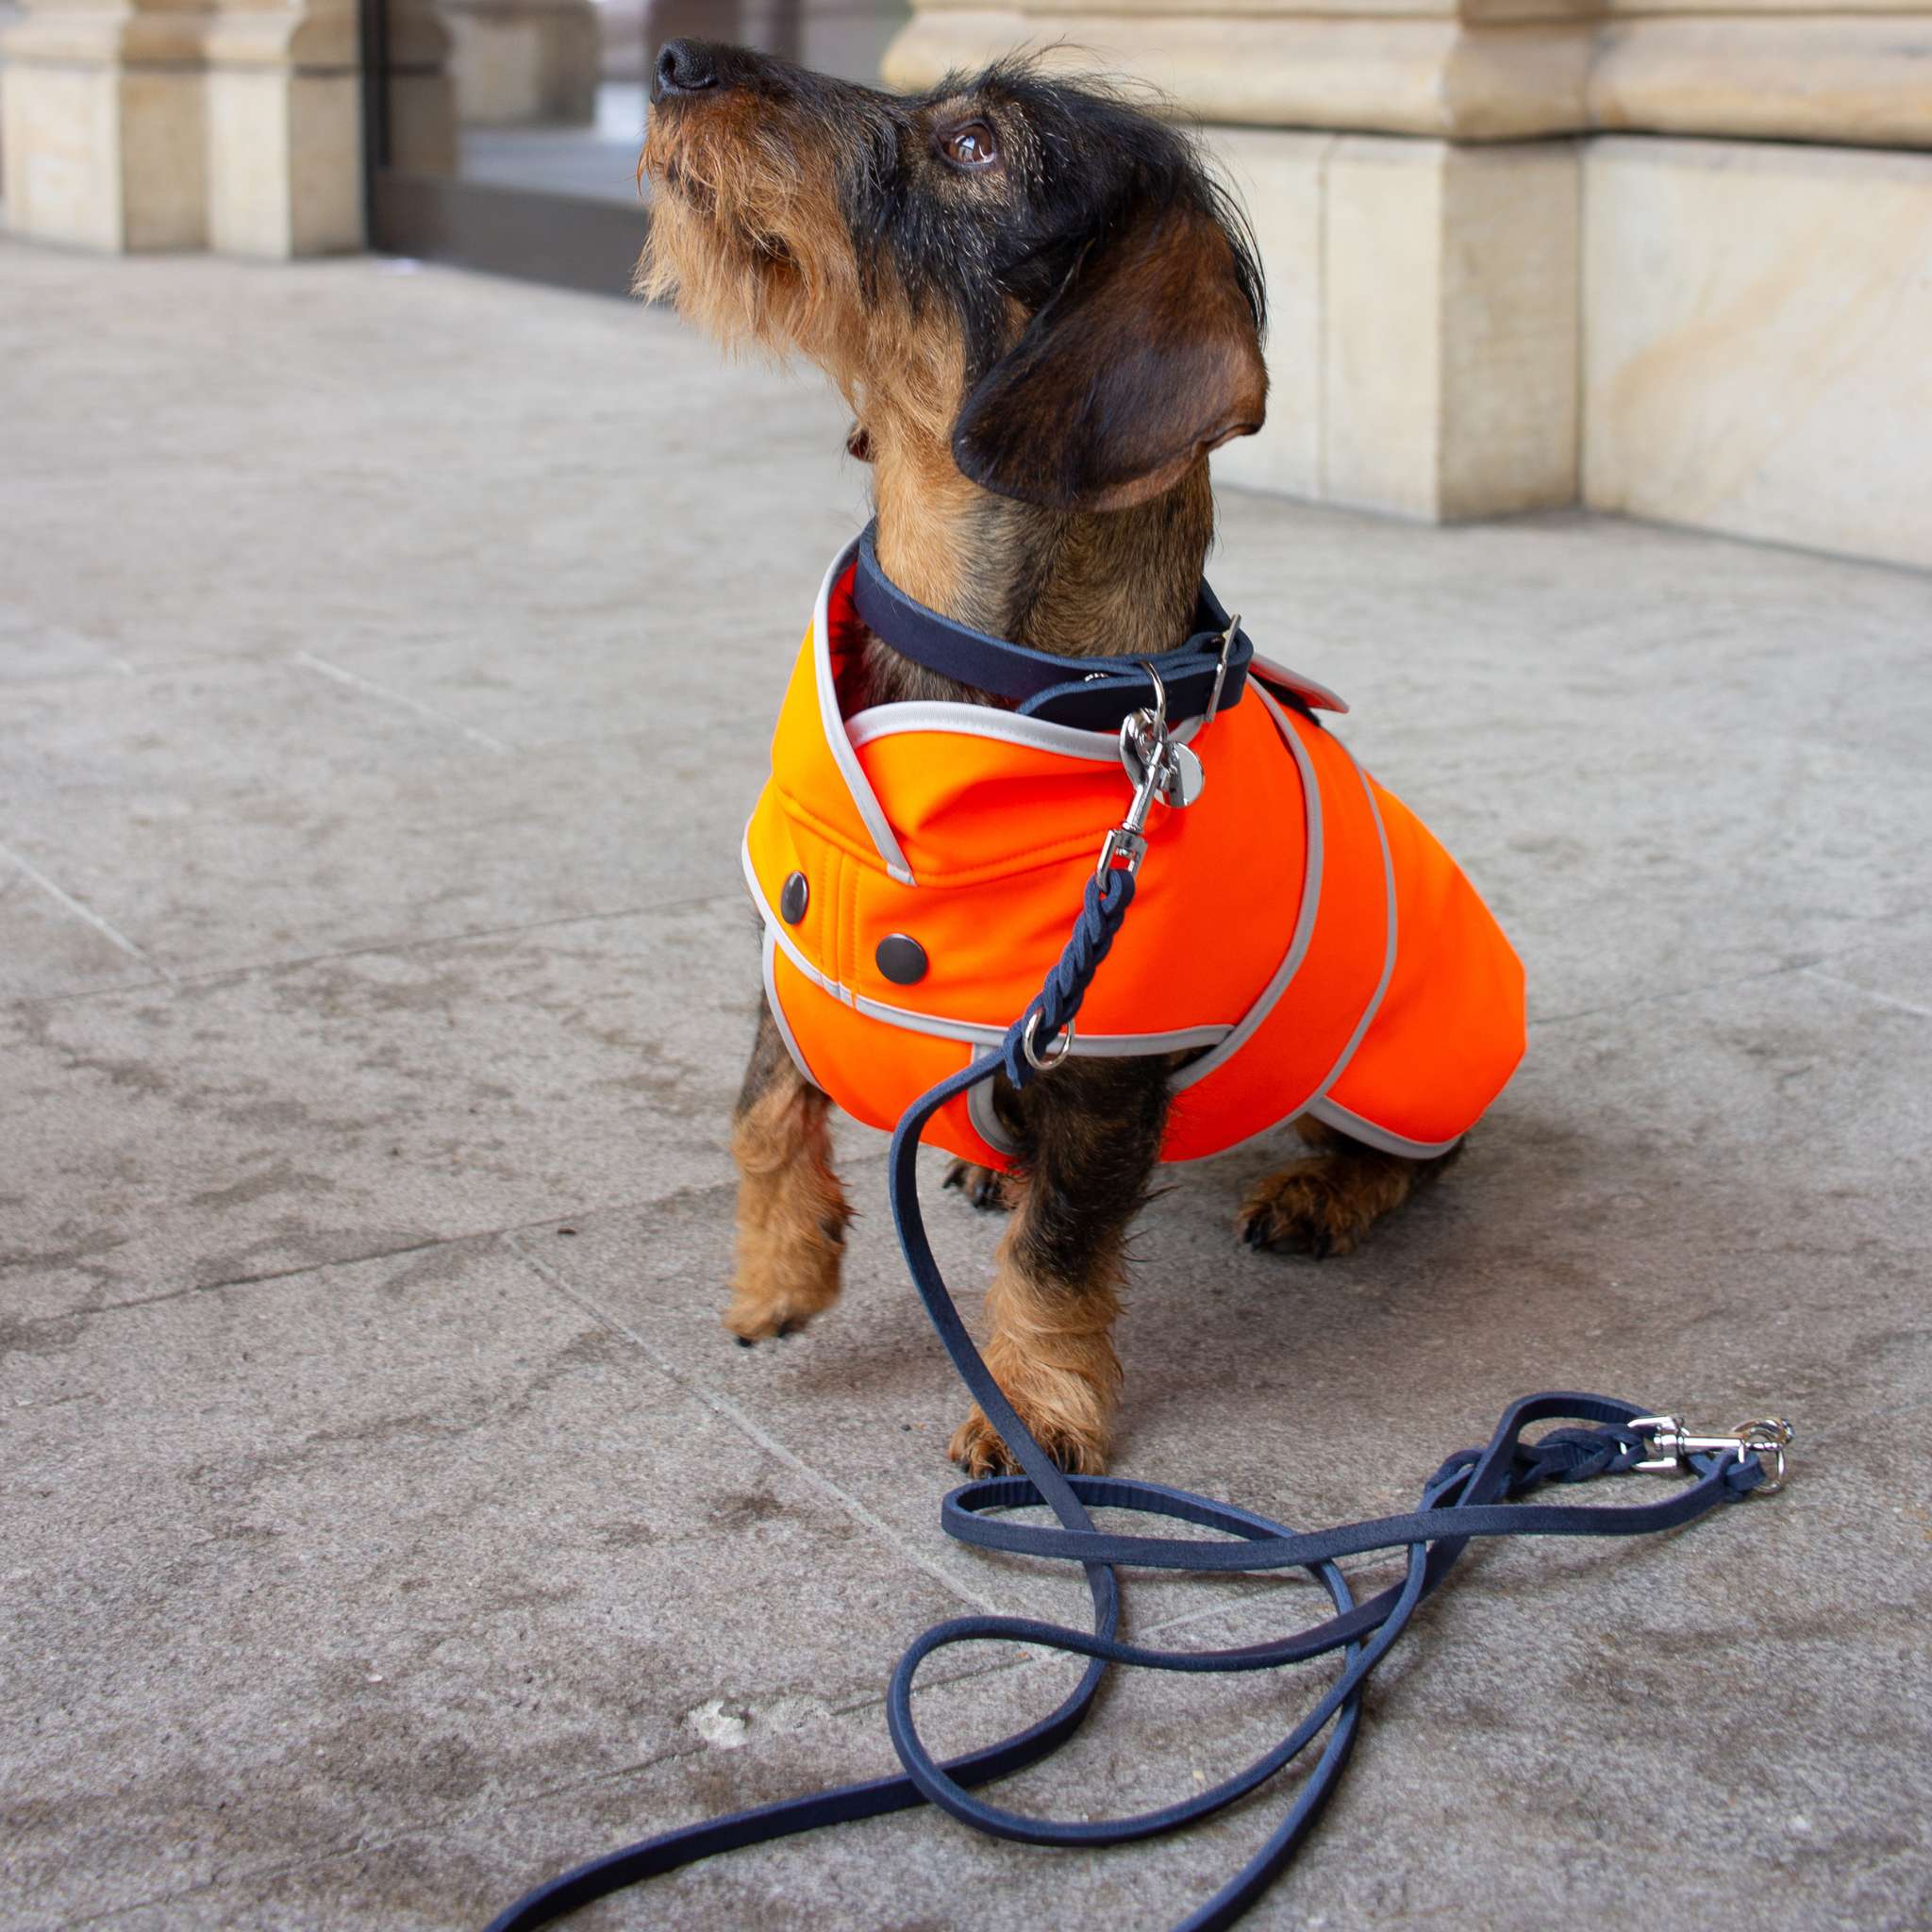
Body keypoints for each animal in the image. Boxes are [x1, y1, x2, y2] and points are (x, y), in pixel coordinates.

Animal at [641, 42, 1483, 1475]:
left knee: (1419, 1154)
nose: (677, 60)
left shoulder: (1102, 1078)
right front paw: (779, 1273)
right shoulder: (789, 939)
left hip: (1396, 1068)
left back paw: (1324, 1187)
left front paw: (1034, 1406)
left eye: (975, 147)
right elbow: (759, 1108)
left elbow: (1058, 1254)